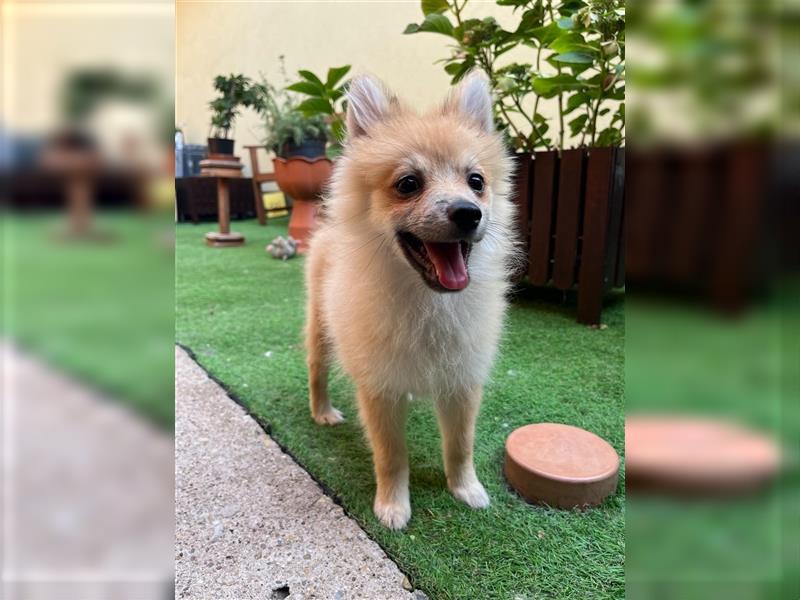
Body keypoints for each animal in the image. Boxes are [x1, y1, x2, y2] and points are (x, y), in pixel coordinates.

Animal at [304, 71, 516, 528]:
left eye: (476, 182)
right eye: (408, 185)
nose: (468, 212)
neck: (429, 302)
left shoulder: (462, 381)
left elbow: (460, 445)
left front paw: (465, 488)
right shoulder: (380, 388)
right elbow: (391, 455)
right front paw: (393, 505)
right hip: (320, 328)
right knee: (316, 370)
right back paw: (322, 411)